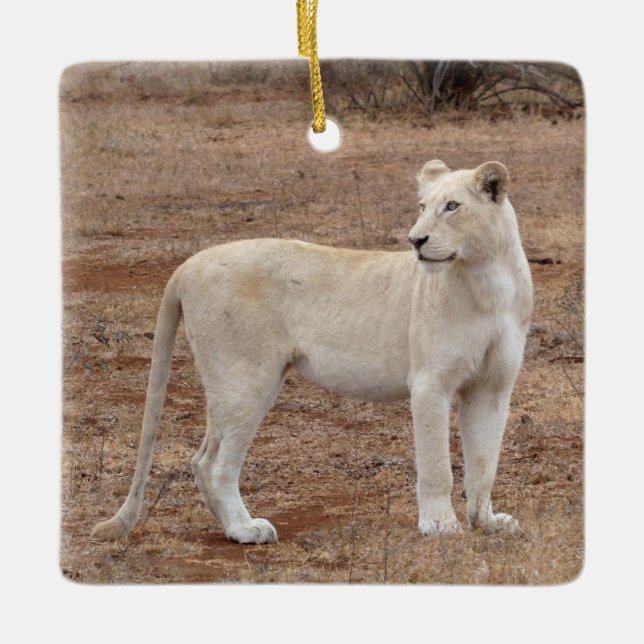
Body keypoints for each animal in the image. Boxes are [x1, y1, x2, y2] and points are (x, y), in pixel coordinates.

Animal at [90, 160, 533, 544]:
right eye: (423, 207)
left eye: (452, 206)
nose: (415, 241)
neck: (486, 279)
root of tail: (187, 265)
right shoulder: (430, 384)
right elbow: (438, 465)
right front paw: (440, 526)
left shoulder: (492, 388)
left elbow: (484, 462)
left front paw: (487, 521)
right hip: (245, 378)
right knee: (213, 464)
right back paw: (245, 530)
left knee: (202, 459)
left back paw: (231, 526)